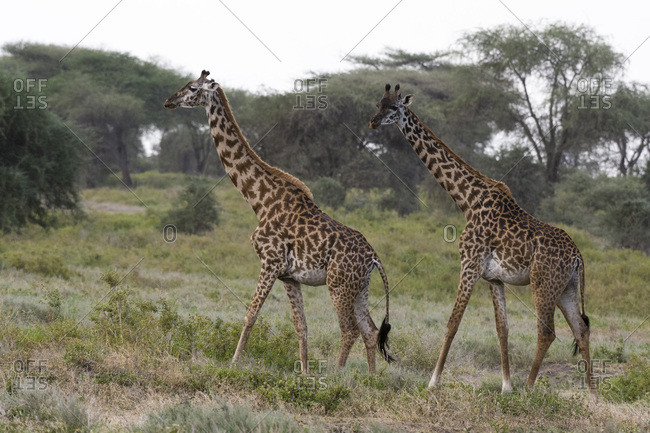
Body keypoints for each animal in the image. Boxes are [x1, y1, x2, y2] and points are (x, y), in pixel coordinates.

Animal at [163, 71, 394, 374]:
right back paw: (370, 379)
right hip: (360, 288)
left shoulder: (269, 263)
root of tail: (373, 257)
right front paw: (305, 373)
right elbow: (301, 326)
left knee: (350, 330)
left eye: (192, 88)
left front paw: (233, 363)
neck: (259, 200)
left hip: (339, 285)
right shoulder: (289, 276)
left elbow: (251, 314)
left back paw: (338, 375)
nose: (168, 100)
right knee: (370, 329)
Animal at [369, 84, 597, 398]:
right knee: (581, 329)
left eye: (393, 108)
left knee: (547, 331)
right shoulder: (494, 278)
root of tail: (578, 257)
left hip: (543, 284)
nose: (373, 122)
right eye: (378, 103)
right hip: (567, 288)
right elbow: (503, 329)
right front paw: (505, 387)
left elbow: (453, 323)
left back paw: (529, 389)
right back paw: (592, 396)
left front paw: (432, 383)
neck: (467, 200)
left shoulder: (470, 264)